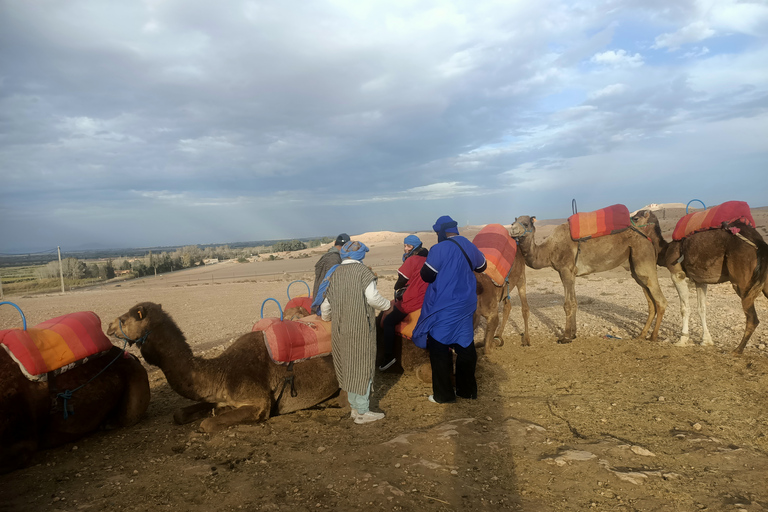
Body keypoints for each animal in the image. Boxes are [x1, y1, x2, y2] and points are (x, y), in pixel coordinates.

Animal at [107, 300, 340, 432]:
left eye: (124, 319)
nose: (108, 326)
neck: (222, 371)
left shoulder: (260, 402)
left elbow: (206, 425)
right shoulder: (217, 394)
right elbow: (180, 413)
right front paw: (220, 409)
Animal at [510, 214, 664, 342]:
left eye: (526, 223)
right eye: (513, 221)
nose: (512, 230)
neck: (548, 250)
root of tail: (649, 240)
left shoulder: (565, 270)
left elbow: (567, 304)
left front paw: (565, 337)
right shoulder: (570, 273)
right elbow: (574, 302)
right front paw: (573, 334)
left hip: (643, 258)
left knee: (660, 300)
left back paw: (653, 337)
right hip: (635, 267)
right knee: (651, 302)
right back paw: (641, 335)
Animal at [632, 207, 768, 352]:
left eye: (636, 218)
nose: (627, 224)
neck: (666, 249)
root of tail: (760, 242)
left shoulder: (677, 274)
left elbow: (685, 308)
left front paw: (682, 340)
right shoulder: (700, 280)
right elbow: (701, 308)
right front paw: (706, 341)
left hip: (742, 281)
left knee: (752, 318)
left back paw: (737, 350)